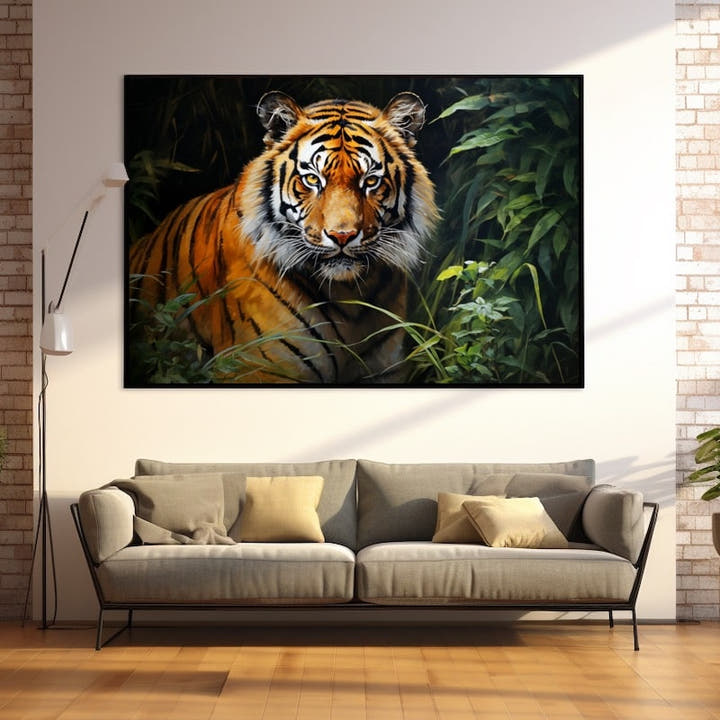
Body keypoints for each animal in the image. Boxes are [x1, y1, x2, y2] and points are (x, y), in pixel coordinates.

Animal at [129, 91, 439, 383]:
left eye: (371, 181)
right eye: (312, 179)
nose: (342, 236)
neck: (349, 296)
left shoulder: (385, 371)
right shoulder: (257, 367)